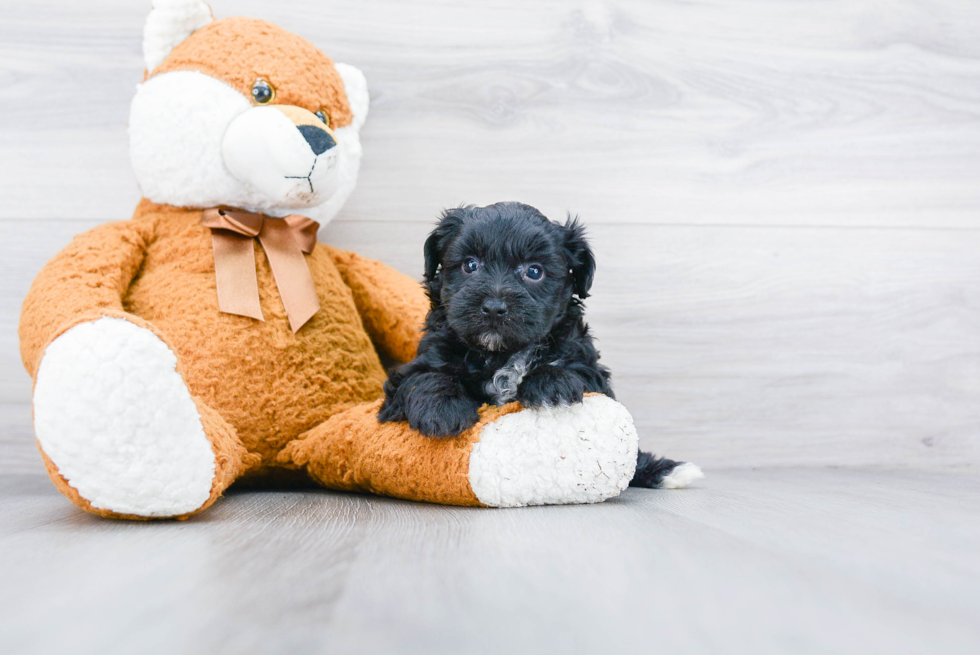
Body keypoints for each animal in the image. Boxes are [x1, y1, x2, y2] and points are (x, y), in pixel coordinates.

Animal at [382, 202, 696, 490]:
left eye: (534, 272)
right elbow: (424, 376)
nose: (494, 307)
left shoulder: (590, 369)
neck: (501, 354)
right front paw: (443, 409)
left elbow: (573, 371)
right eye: (470, 265)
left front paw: (550, 384)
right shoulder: (418, 366)